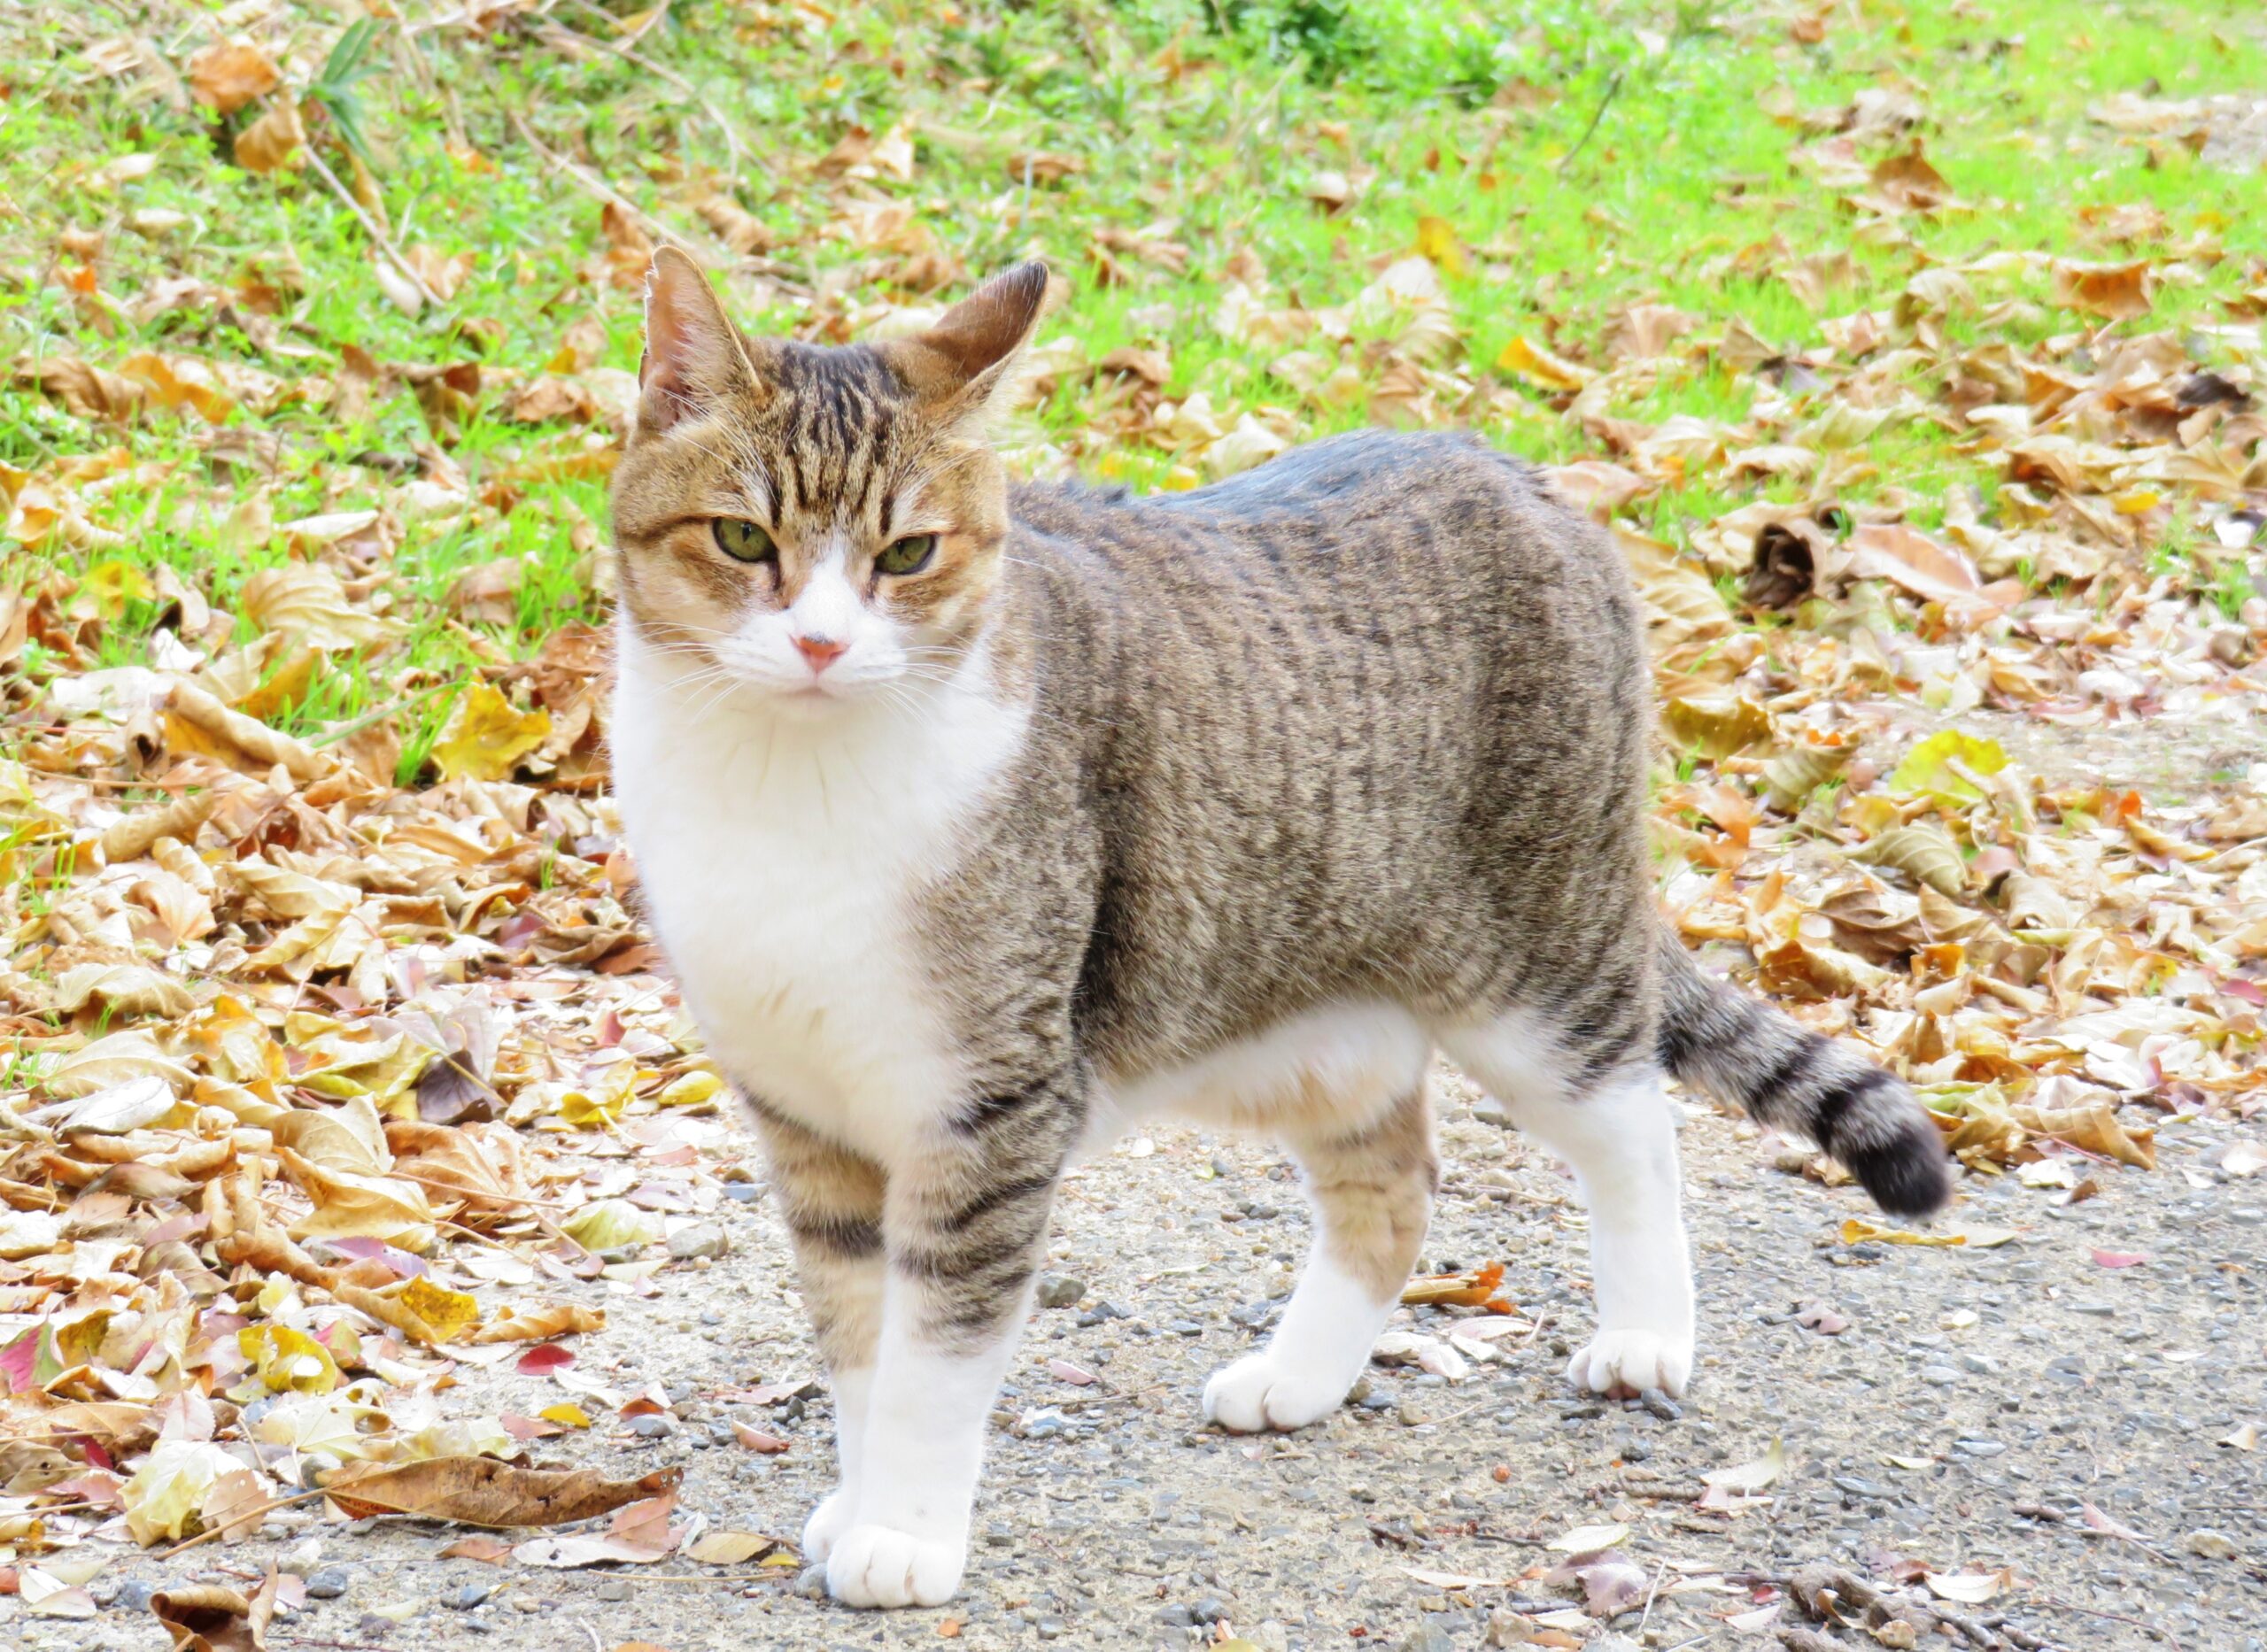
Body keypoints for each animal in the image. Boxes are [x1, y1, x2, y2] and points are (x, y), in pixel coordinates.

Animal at [607, 251, 1949, 1604]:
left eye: (909, 551)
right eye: (742, 537)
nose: (822, 643)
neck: (790, 789)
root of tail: (1518, 469)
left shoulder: (988, 1105)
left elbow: (934, 1354)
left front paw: (906, 1531)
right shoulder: (806, 1114)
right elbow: (857, 1342)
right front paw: (857, 1498)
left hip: (1538, 965)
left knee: (1631, 1126)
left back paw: (1642, 1334)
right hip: (1301, 1016)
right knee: (1396, 1184)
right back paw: (1302, 1377)